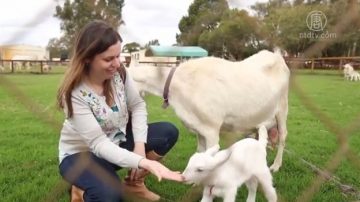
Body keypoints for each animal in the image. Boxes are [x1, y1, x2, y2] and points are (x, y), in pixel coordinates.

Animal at [128, 49, 292, 171]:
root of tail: (276, 56)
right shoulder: (200, 128)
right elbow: (200, 153)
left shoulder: (212, 130)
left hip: (282, 108)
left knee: (283, 136)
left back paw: (276, 166)